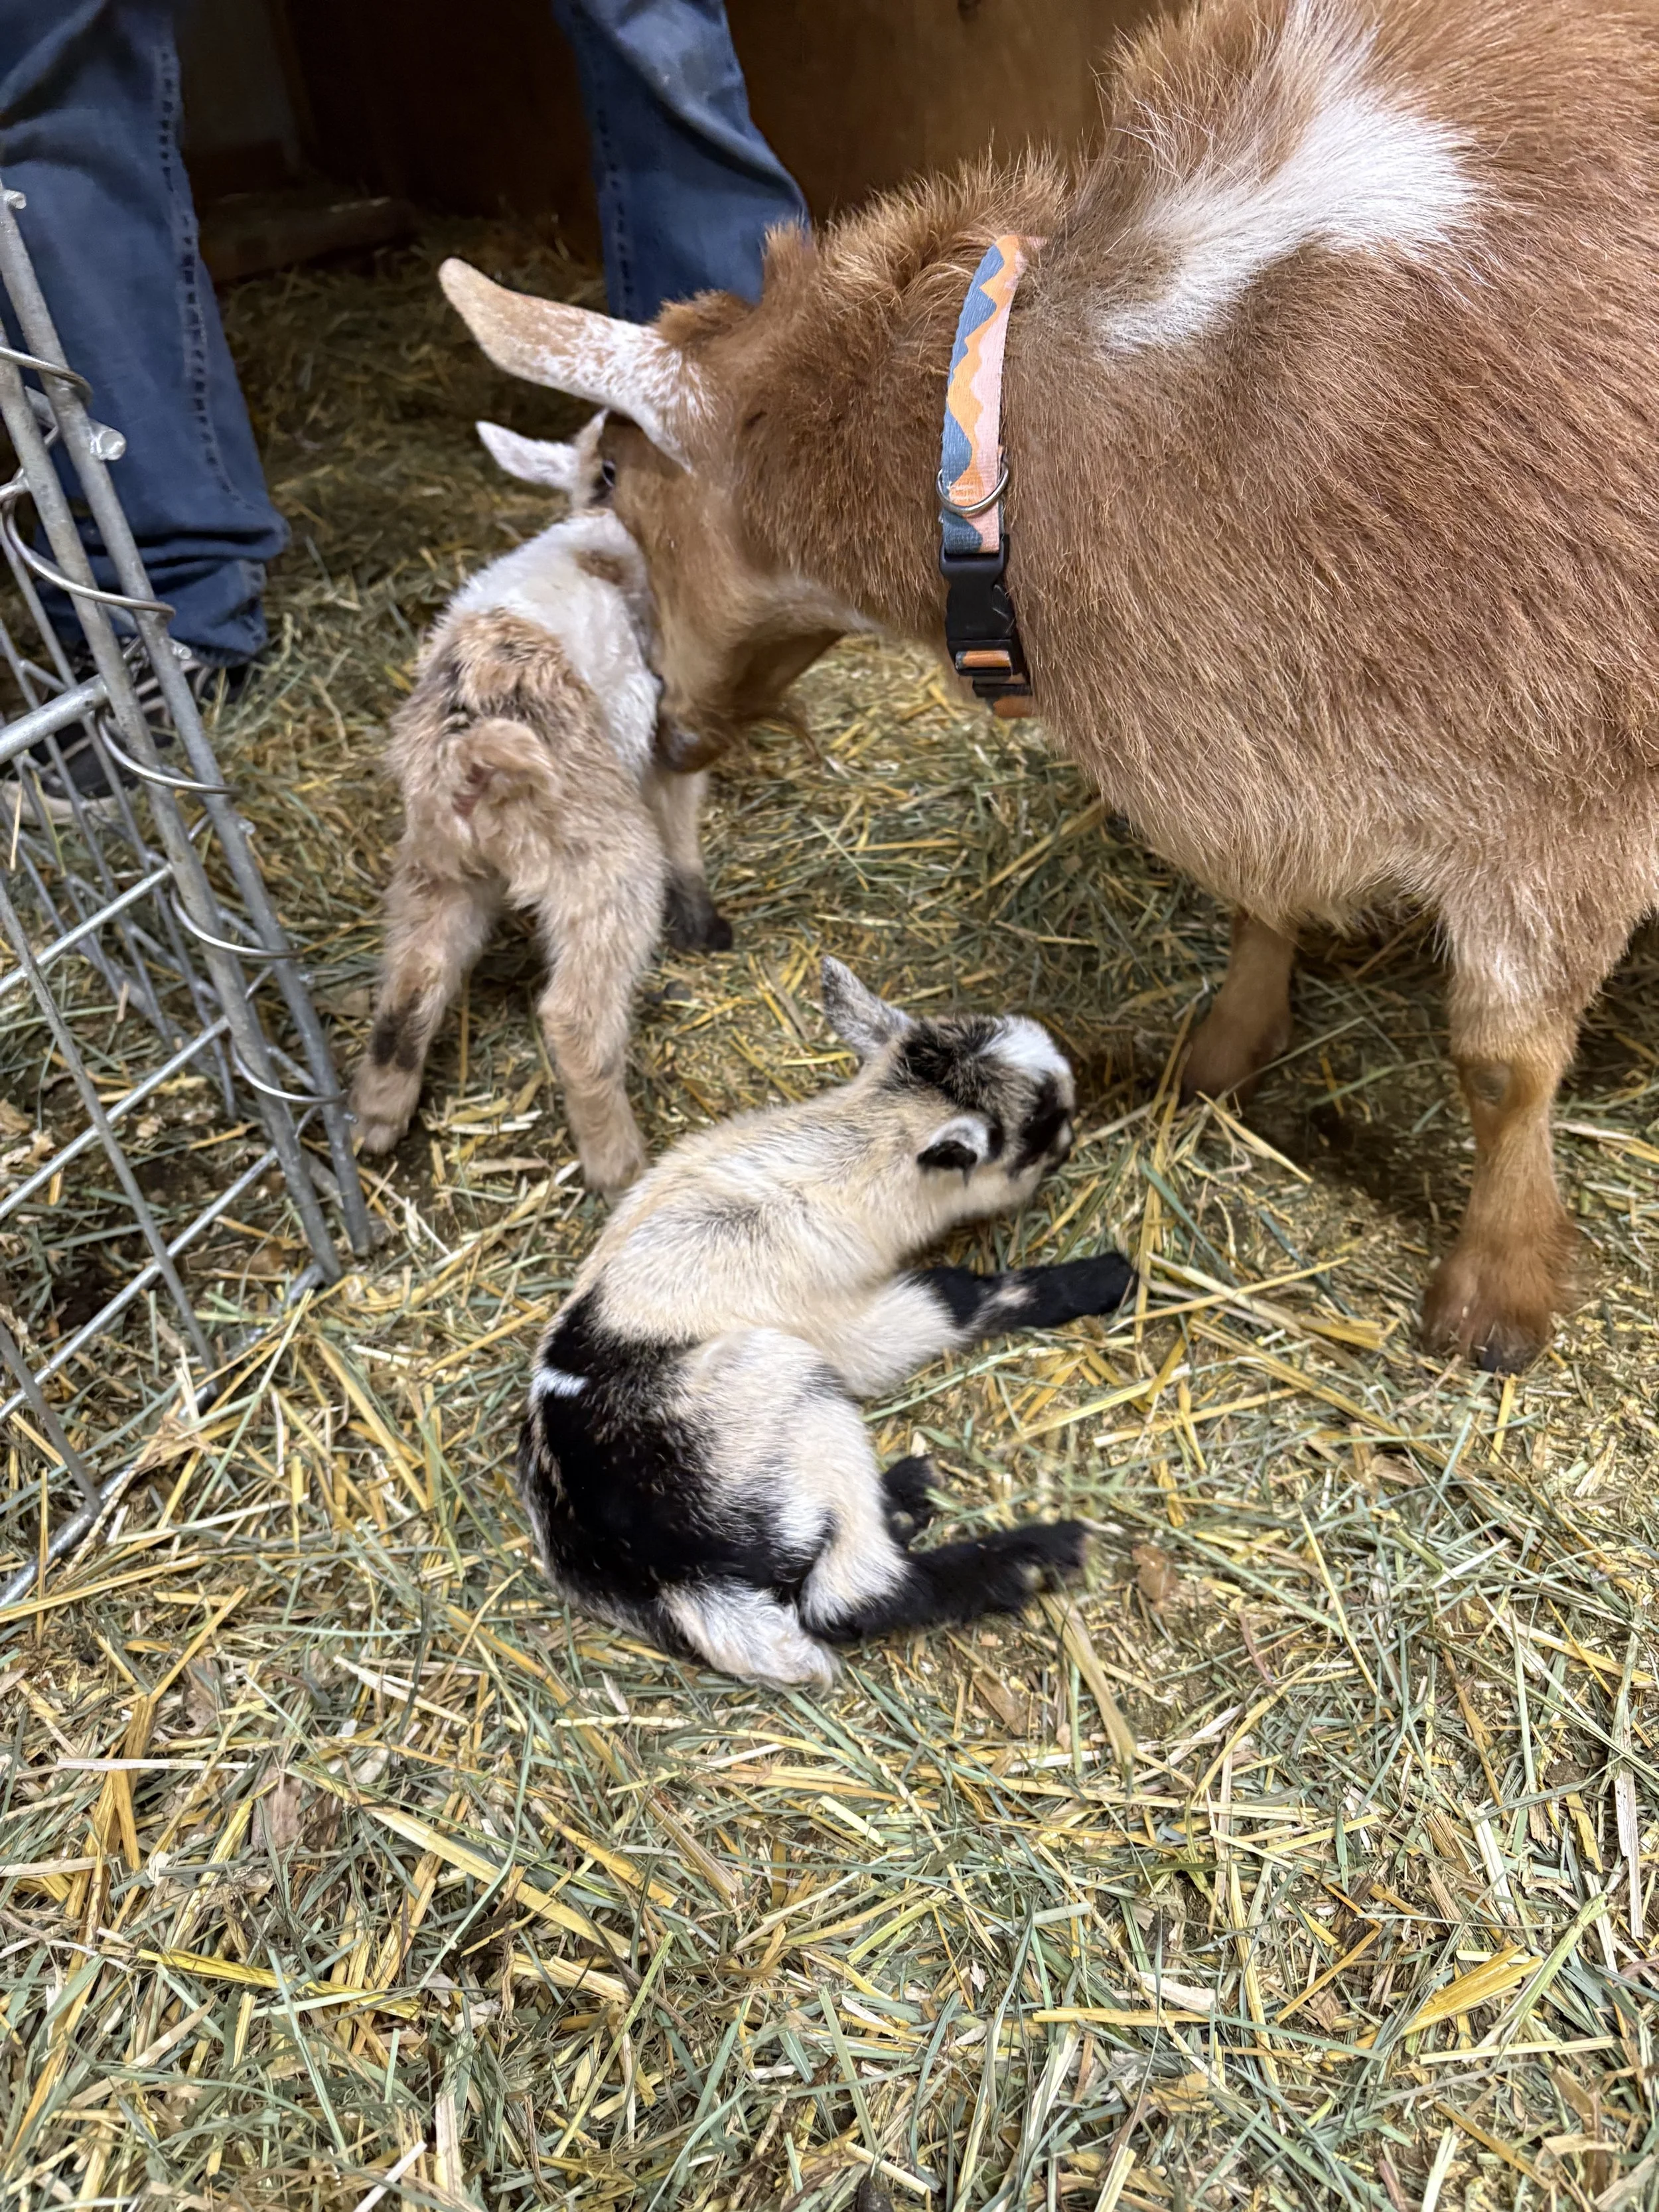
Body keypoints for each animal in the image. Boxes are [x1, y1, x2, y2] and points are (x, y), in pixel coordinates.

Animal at [349, 414, 731, 1197]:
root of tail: (469, 755)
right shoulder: (668, 739)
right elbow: (682, 827)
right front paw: (705, 926)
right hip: (600, 860)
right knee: (575, 1020)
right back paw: (621, 1166)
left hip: (437, 865)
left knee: (412, 981)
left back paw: (377, 1120)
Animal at [437, 0, 1659, 1369]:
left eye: (614, 487)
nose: (677, 736)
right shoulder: (1266, 735)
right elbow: (1261, 899)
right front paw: (1220, 1051)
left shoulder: (1559, 797)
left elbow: (1501, 1063)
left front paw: (1493, 1297)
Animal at [517, 958, 1135, 1685]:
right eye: (1038, 1126)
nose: (1071, 1138)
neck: (846, 1154)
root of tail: (672, 1575)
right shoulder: (851, 1321)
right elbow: (952, 1297)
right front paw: (1106, 1277)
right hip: (786, 1387)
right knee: (855, 1594)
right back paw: (1038, 1554)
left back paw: (905, 1494)